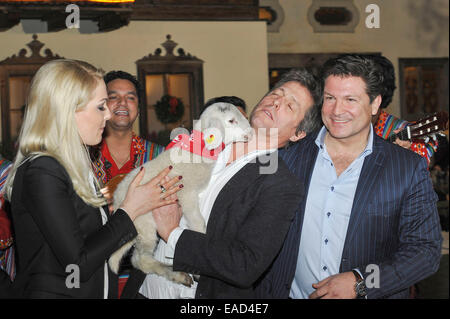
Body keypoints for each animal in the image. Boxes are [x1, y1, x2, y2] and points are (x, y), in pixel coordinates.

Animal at [107, 103, 251, 288]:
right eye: (231, 120)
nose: (251, 133)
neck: (197, 151)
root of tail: (118, 203)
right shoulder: (187, 193)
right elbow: (198, 222)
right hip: (145, 223)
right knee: (140, 260)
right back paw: (177, 274)